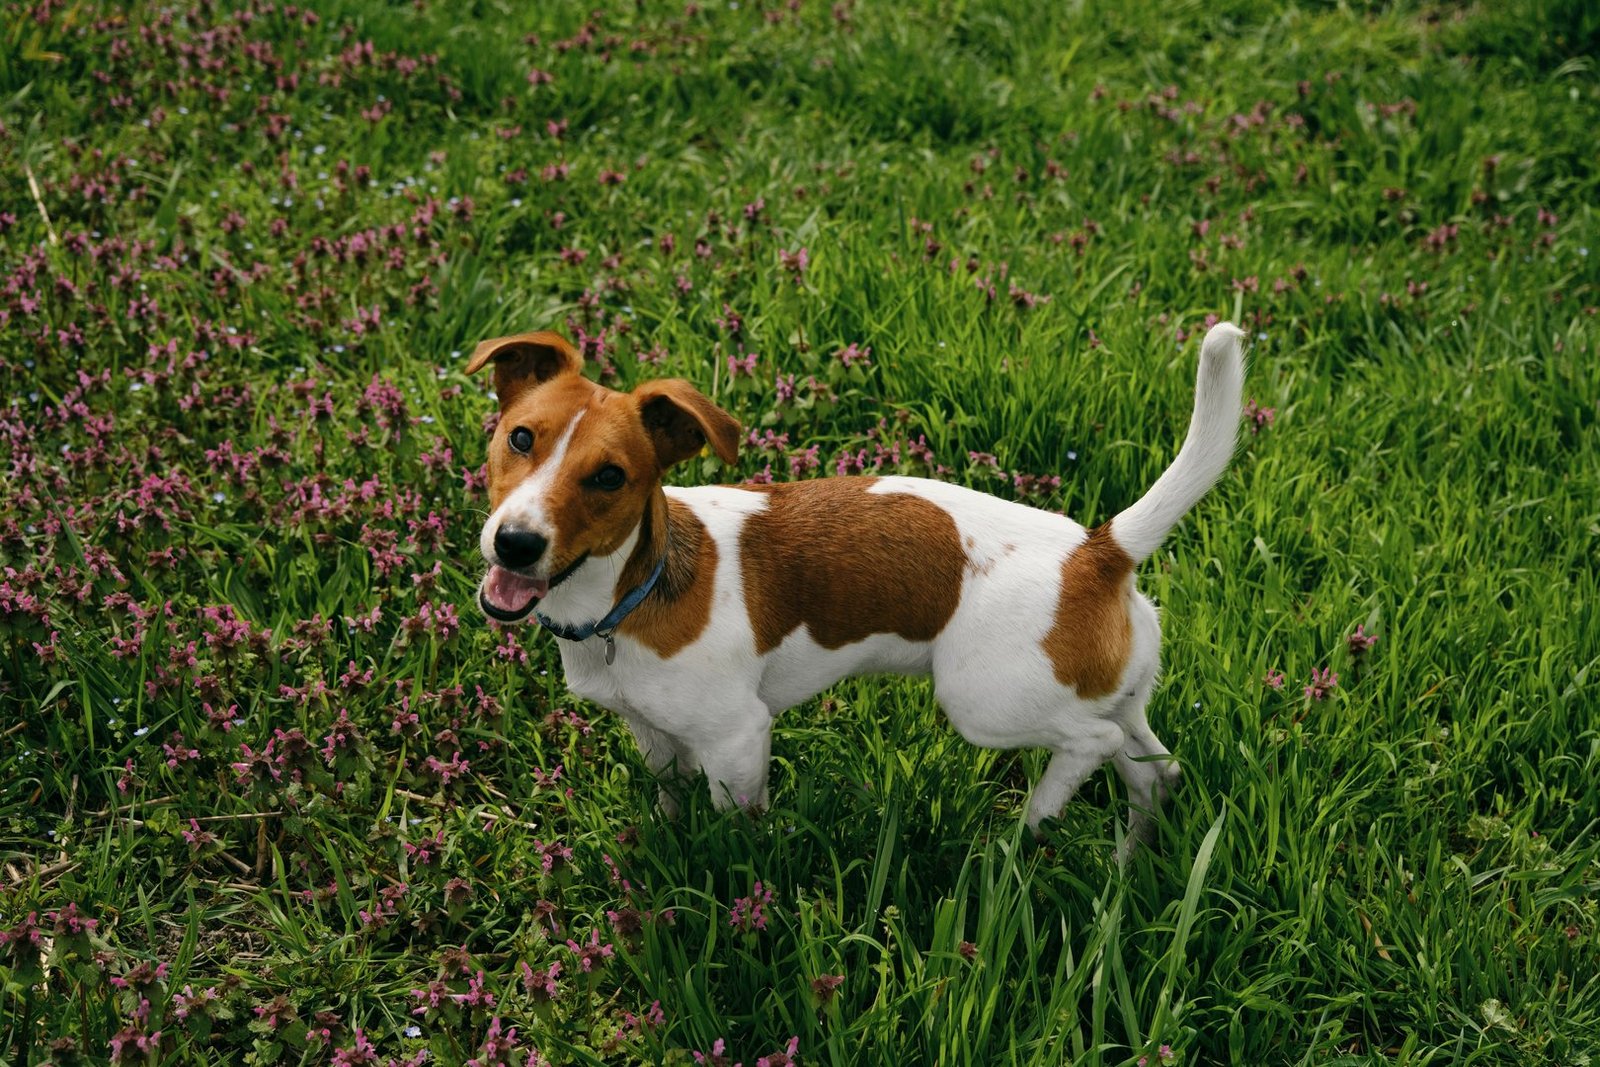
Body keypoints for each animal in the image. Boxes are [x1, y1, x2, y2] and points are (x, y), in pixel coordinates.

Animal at [471, 321, 1244, 855]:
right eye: (520, 438)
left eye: (610, 477)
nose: (516, 543)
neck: (637, 586)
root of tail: (1097, 551)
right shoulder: (655, 731)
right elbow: (670, 791)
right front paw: (665, 839)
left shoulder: (738, 737)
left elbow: (735, 824)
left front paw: (735, 874)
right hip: (1118, 695)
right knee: (1156, 770)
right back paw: (1125, 861)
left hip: (986, 704)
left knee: (1091, 743)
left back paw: (1029, 826)